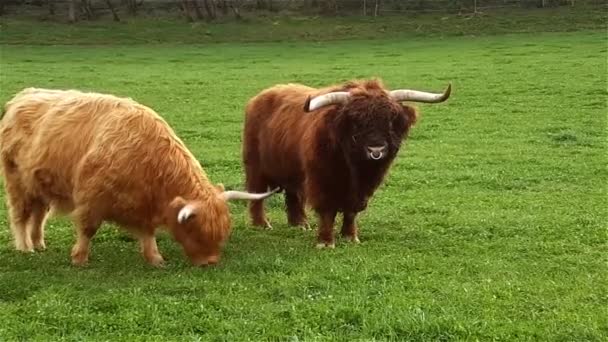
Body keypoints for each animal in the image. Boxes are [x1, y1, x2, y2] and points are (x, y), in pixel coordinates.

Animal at [243, 79, 452, 247]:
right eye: (357, 121)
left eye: (390, 120)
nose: (376, 150)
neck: (353, 168)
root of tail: (261, 96)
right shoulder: (321, 181)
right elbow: (327, 211)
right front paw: (326, 242)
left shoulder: (364, 188)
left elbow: (352, 211)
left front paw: (350, 237)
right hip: (255, 167)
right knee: (257, 194)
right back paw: (262, 224)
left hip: (293, 171)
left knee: (293, 195)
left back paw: (300, 224)